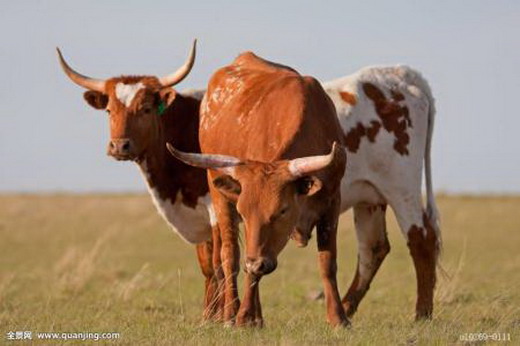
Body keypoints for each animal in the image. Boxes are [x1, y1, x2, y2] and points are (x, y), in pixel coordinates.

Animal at [56, 42, 221, 320]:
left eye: (145, 109)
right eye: (109, 110)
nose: (119, 146)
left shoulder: (215, 208)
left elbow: (222, 262)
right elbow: (208, 265)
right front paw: (210, 316)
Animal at [169, 52, 350, 328]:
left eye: (282, 211)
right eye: (244, 213)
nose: (256, 263)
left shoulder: (332, 200)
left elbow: (327, 261)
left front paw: (338, 318)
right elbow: (247, 271)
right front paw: (244, 317)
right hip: (218, 195)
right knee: (230, 257)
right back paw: (232, 314)